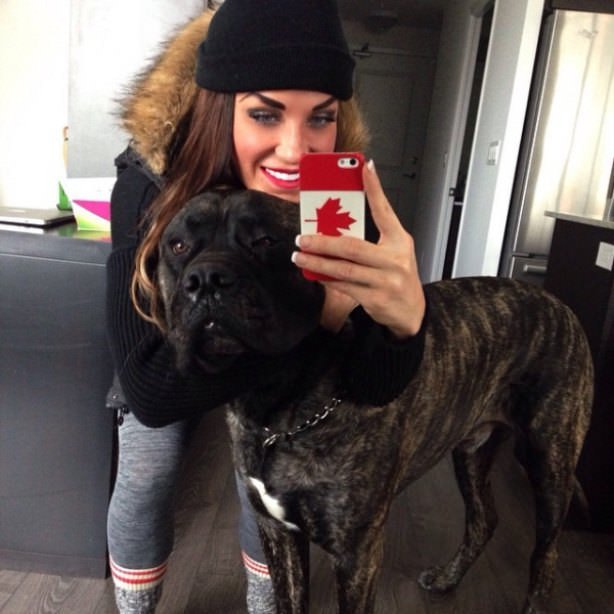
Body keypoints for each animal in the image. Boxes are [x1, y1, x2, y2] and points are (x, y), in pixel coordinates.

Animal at [157, 189, 593, 614]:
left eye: (265, 241)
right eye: (177, 245)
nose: (206, 278)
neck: (279, 411)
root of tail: (559, 305)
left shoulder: (357, 555)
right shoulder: (278, 534)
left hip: (550, 463)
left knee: (546, 556)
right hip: (473, 452)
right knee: (484, 519)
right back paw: (446, 578)